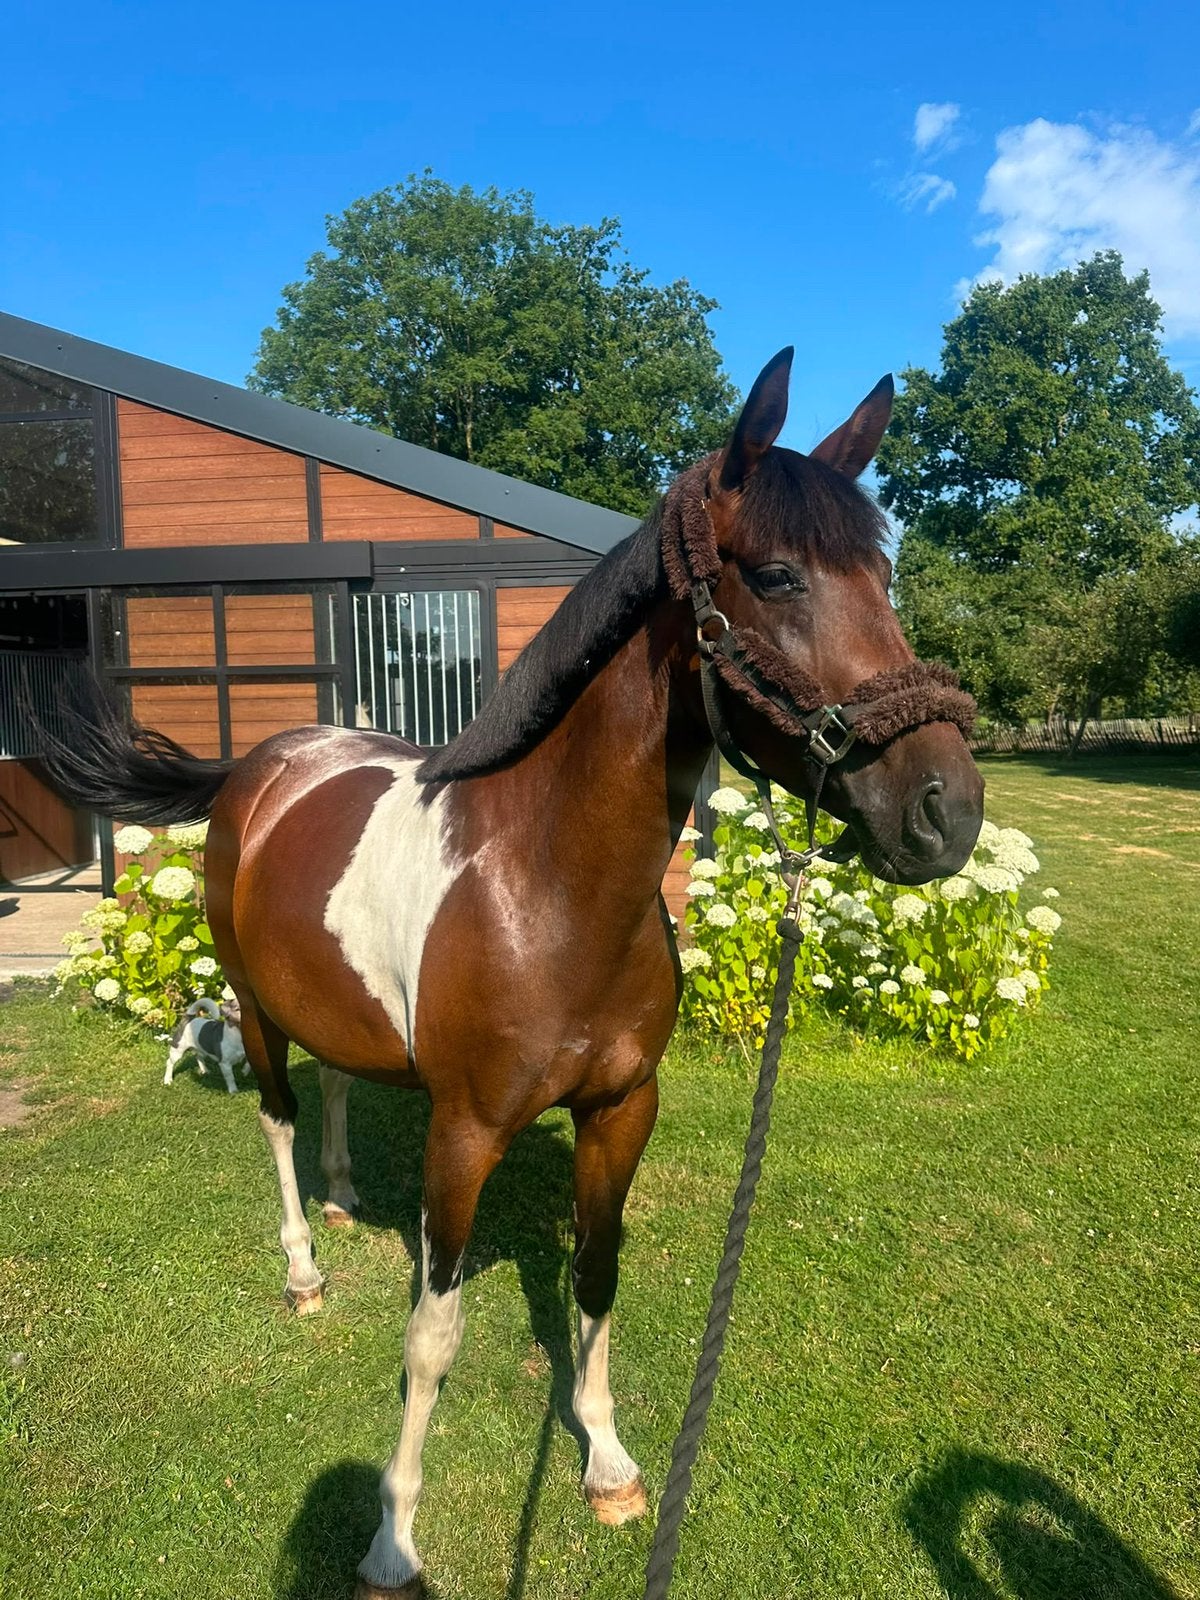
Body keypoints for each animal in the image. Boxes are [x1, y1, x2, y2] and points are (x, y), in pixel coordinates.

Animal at [49, 348, 984, 1599]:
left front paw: (609, 1464)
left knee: (339, 1086)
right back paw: (302, 1264)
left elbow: (596, 1276)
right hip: (251, 1003)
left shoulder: (620, 1110)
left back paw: (343, 1198)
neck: (547, 890)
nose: (947, 810)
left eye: (883, 574)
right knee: (281, 1114)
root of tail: (266, 762)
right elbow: (431, 1335)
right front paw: (393, 1537)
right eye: (779, 575)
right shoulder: (465, 1133)